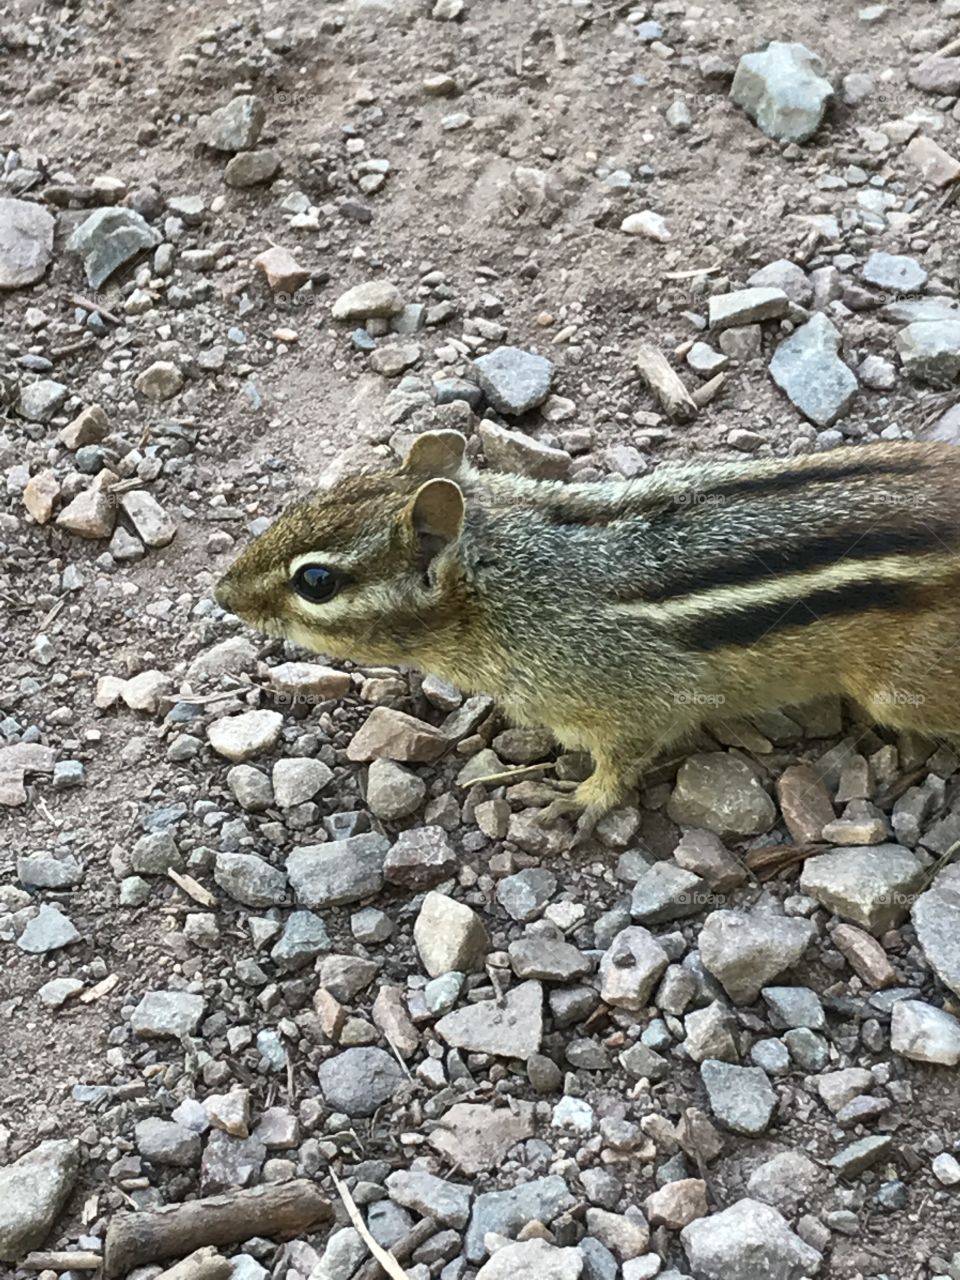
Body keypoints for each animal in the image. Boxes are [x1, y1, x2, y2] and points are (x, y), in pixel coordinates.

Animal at [215, 430, 960, 834]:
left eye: (316, 581)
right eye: (310, 500)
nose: (222, 594)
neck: (506, 578)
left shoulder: (633, 694)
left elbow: (625, 757)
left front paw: (578, 802)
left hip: (906, 691)